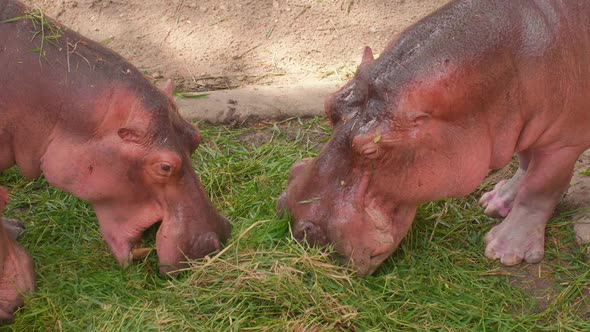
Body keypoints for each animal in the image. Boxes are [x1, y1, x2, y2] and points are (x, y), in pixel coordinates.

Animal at [280, 0, 590, 278]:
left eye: (371, 150)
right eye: (329, 105)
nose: (298, 227)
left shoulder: (562, 143)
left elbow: (538, 189)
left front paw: (504, 251)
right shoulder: (526, 123)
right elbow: (525, 163)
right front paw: (495, 202)